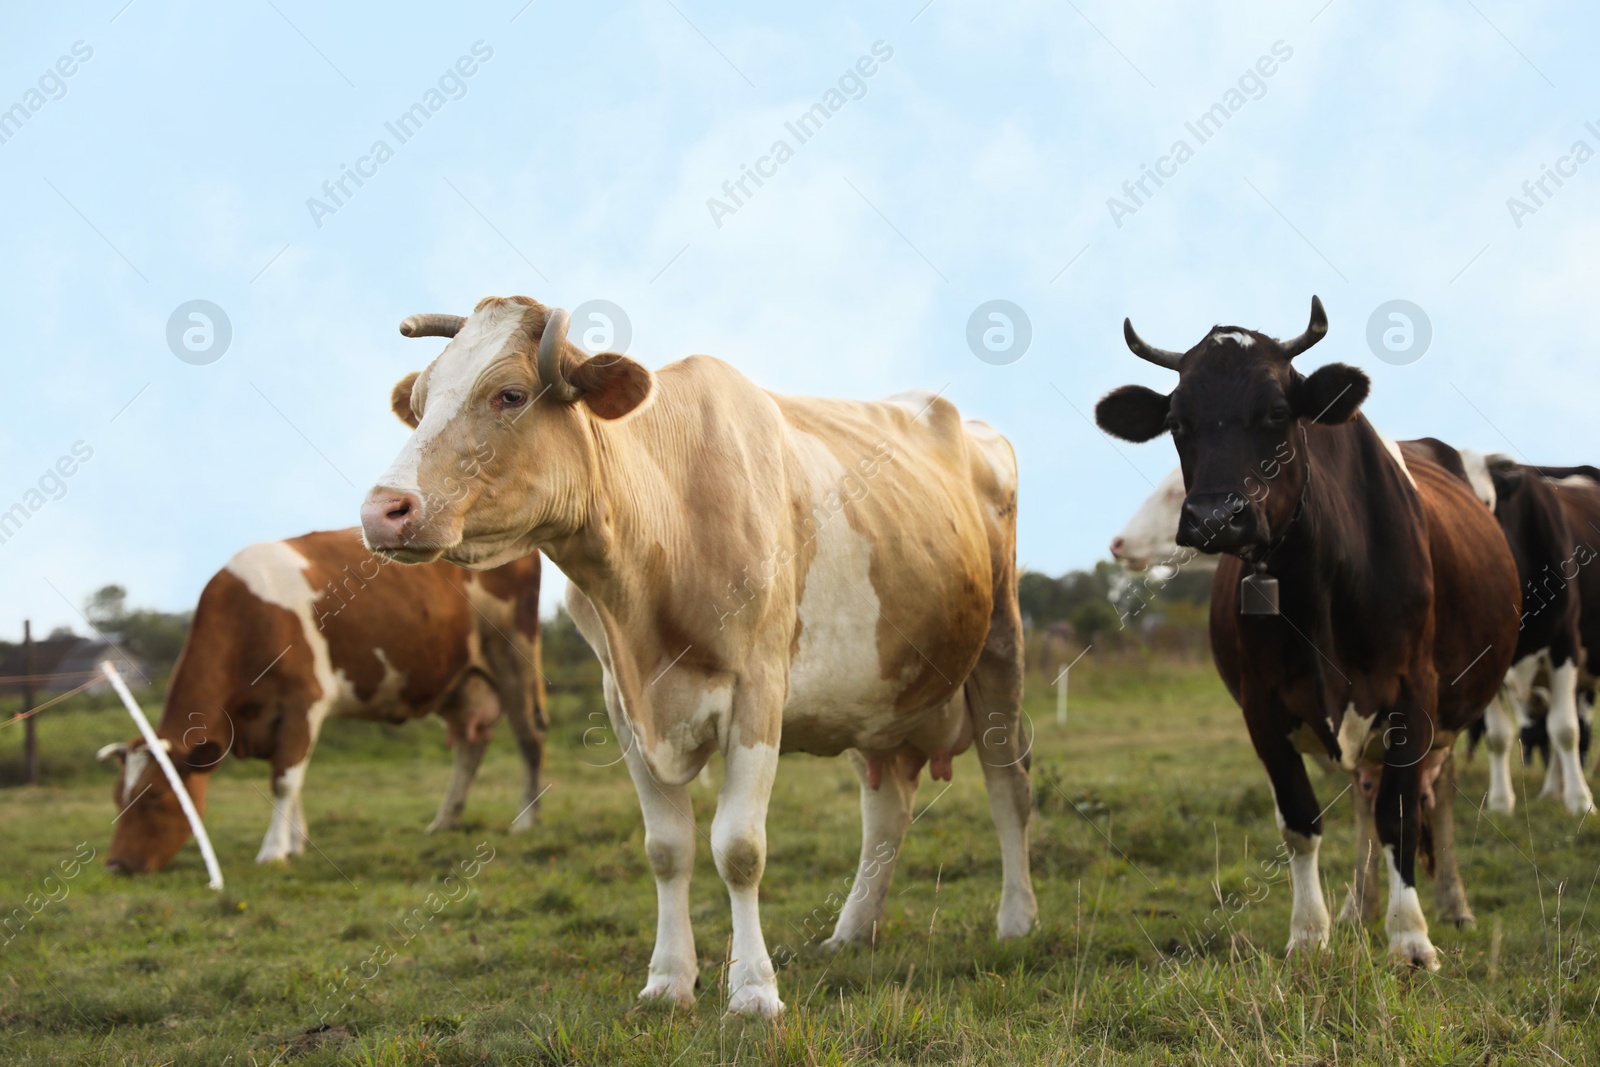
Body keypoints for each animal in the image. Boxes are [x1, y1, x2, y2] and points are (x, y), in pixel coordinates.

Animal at [101, 531, 550, 870]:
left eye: (156, 796)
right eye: (117, 797)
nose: (116, 865)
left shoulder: (305, 702)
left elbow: (285, 780)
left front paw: (273, 851)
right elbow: (293, 779)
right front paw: (296, 843)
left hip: (515, 656)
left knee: (529, 738)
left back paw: (526, 822)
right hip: (460, 683)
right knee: (470, 746)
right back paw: (444, 821)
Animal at [360, 295, 1036, 1017]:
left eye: (509, 394)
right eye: (421, 401)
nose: (383, 510)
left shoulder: (759, 689)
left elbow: (739, 847)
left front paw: (754, 990)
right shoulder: (622, 703)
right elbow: (667, 848)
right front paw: (667, 980)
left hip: (999, 646)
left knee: (1008, 781)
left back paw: (1016, 919)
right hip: (874, 695)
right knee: (885, 811)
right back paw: (852, 930)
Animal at [1094, 295, 1516, 972]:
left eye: (1275, 412)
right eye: (1178, 422)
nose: (1215, 517)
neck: (1315, 582)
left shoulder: (1414, 694)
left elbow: (1401, 815)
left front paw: (1411, 938)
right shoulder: (1262, 708)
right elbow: (1300, 820)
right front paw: (1310, 934)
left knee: (1435, 797)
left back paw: (1452, 905)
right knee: (1366, 797)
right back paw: (1356, 909)